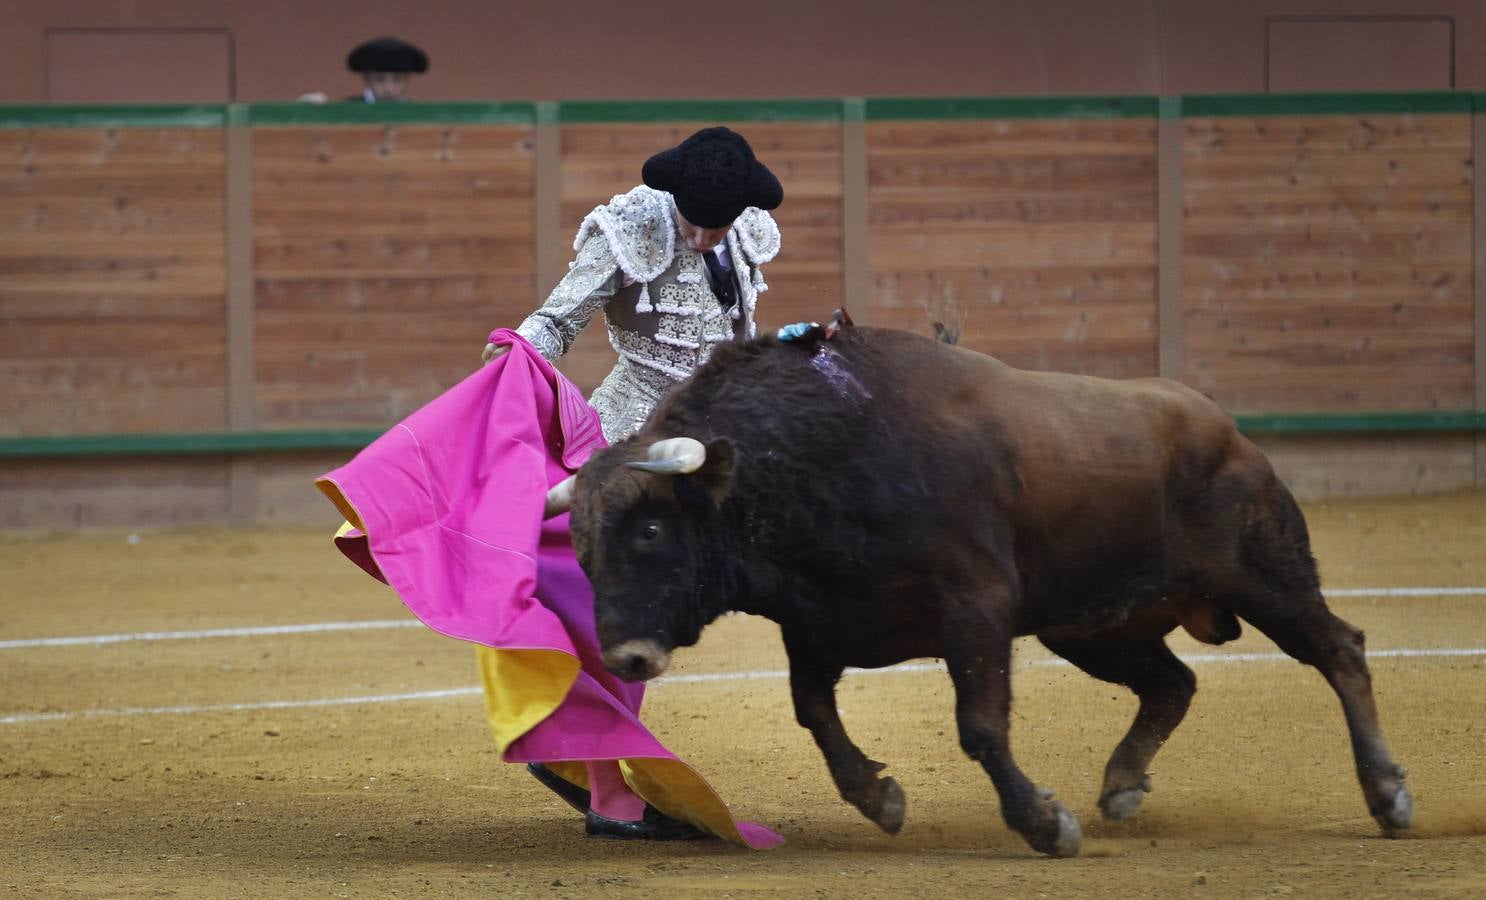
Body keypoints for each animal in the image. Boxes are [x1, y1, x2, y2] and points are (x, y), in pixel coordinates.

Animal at [540, 320, 1408, 855]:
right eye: (579, 549)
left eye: (651, 532)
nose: (626, 657)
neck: (816, 452)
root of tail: (1223, 427)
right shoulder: (818, 624)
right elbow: (814, 712)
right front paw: (878, 797)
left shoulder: (976, 608)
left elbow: (980, 725)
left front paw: (1044, 824)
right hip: (1093, 625)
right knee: (1173, 682)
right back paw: (1123, 785)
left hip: (1265, 575)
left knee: (1338, 648)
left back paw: (1388, 794)